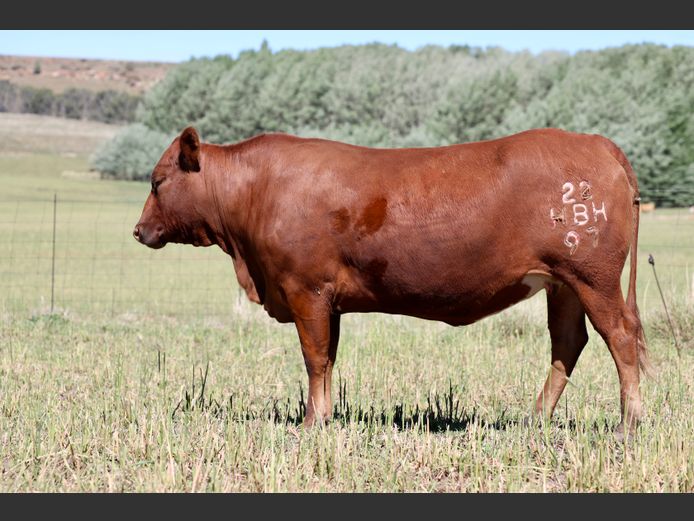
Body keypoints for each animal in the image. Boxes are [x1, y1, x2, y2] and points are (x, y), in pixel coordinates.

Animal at [133, 126, 650, 437]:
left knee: (621, 338)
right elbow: (328, 360)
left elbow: (314, 358)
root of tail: (593, 142)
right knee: (568, 343)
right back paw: (535, 419)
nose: (138, 231)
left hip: (594, 278)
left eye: (157, 181)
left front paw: (310, 424)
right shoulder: (329, 300)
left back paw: (628, 424)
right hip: (563, 283)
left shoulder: (305, 289)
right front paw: (324, 416)